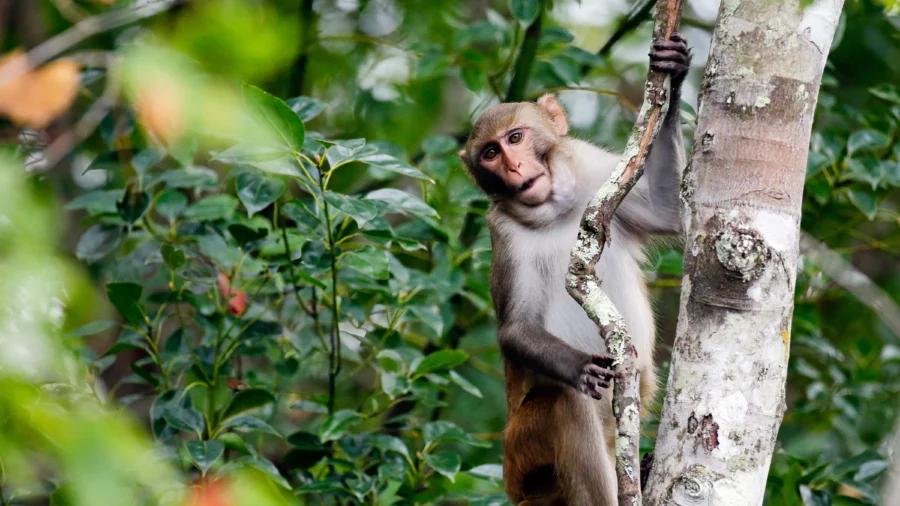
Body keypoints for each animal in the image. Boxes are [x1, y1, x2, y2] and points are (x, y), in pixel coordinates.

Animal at [460, 33, 692, 504]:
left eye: (515, 137)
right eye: (491, 153)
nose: (513, 167)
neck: (556, 211)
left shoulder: (595, 170)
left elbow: (668, 211)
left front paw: (674, 73)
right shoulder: (504, 235)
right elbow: (516, 328)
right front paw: (579, 367)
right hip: (524, 452)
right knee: (566, 406)